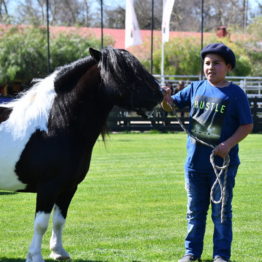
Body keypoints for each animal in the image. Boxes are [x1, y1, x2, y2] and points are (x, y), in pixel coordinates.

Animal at [0, 47, 163, 262]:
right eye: (123, 71)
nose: (160, 95)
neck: (55, 122)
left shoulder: (68, 187)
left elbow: (59, 221)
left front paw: (58, 252)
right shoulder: (47, 187)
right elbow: (41, 224)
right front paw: (35, 255)